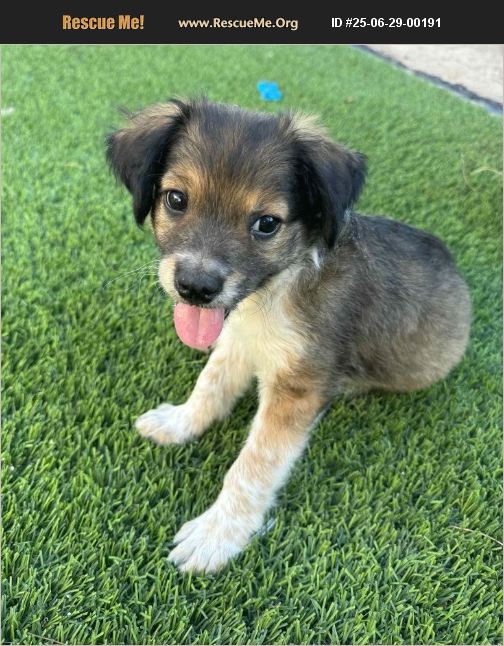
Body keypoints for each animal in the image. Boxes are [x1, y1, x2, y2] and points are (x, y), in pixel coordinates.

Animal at [106, 98, 471, 573]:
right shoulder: (237, 339)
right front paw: (179, 422)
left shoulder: (297, 387)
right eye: (176, 199)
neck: (276, 291)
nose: (196, 288)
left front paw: (216, 535)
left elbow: (253, 466)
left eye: (266, 224)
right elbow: (210, 385)